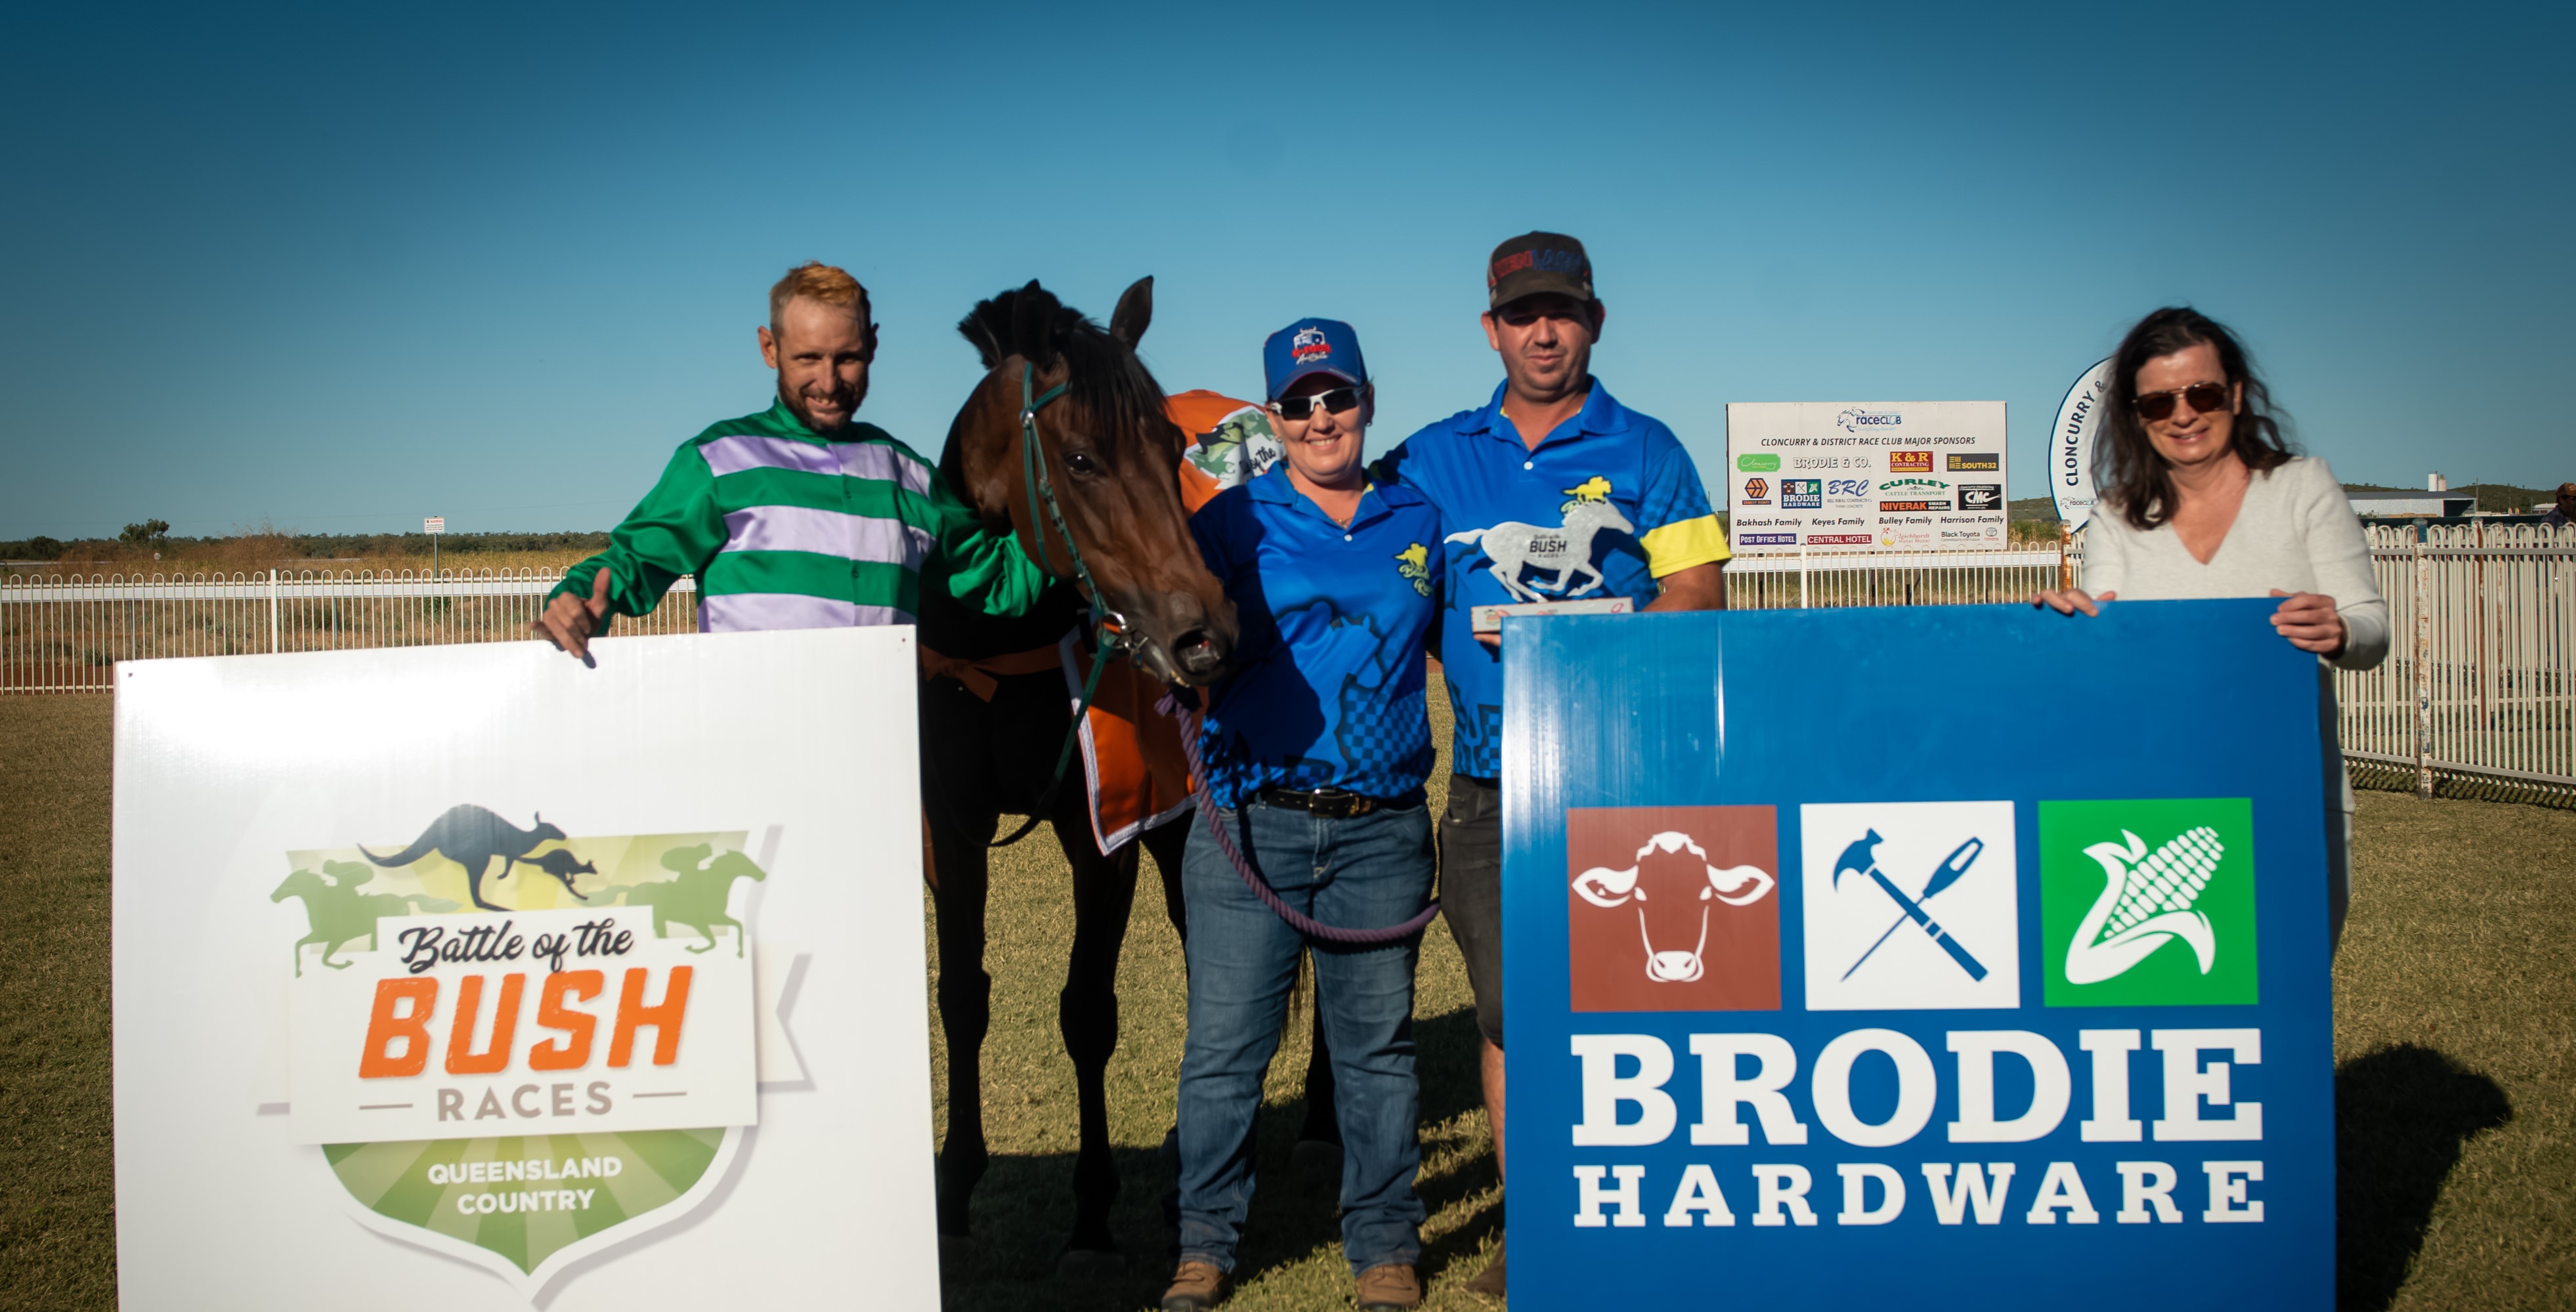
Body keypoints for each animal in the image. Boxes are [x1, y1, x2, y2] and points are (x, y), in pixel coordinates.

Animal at [916, 276, 1339, 1268]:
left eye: (1166, 447)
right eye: (1080, 458)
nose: (1207, 633)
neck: (1005, 651)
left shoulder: (1099, 837)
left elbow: (1086, 1012)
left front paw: (1092, 1211)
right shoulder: (952, 828)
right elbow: (961, 998)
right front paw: (953, 1190)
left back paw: (1319, 1125)